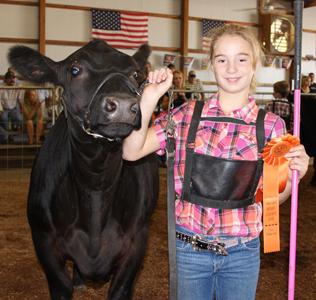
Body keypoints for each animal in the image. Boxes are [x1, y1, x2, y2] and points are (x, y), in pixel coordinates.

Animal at [8, 40, 159, 300]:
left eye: (135, 74)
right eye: (74, 70)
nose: (122, 105)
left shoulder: (136, 243)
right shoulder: (44, 242)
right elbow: (61, 285)